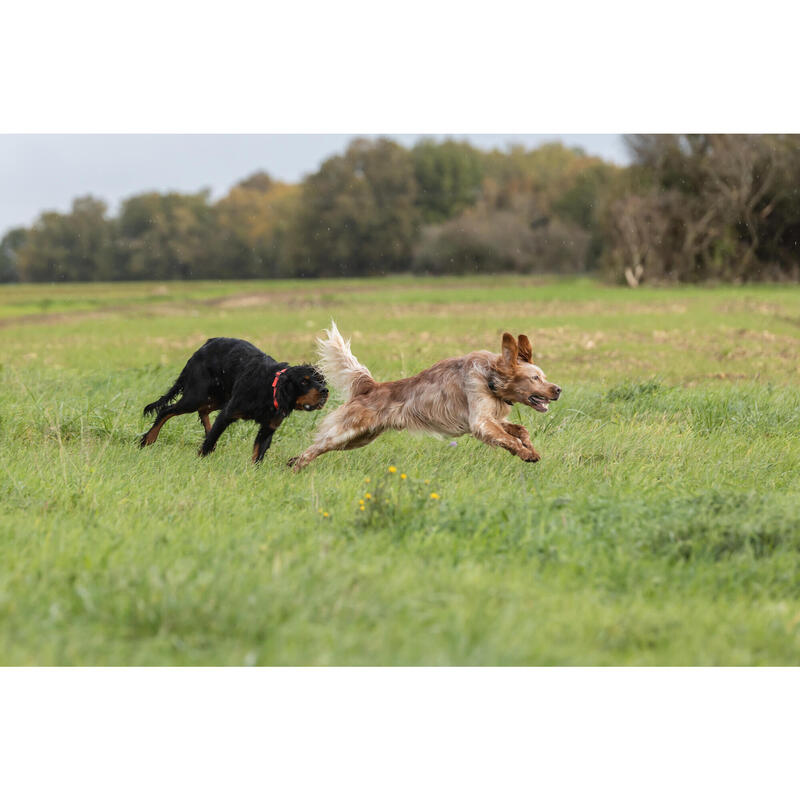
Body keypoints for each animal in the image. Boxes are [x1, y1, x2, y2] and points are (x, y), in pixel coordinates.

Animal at [139, 338, 326, 462]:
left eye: (321, 380)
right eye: (304, 382)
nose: (325, 391)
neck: (270, 387)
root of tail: (205, 344)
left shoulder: (269, 426)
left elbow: (258, 453)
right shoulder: (228, 413)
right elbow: (211, 439)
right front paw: (200, 458)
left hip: (218, 397)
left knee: (203, 411)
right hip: (197, 396)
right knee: (167, 410)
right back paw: (148, 440)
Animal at [290, 324, 564, 472]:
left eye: (543, 376)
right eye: (535, 378)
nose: (558, 389)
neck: (491, 380)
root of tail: (369, 386)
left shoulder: (493, 418)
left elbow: (520, 430)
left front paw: (530, 448)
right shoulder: (481, 421)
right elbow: (509, 438)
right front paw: (526, 454)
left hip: (360, 438)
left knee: (318, 446)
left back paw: (292, 462)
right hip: (347, 431)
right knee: (316, 446)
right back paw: (295, 466)